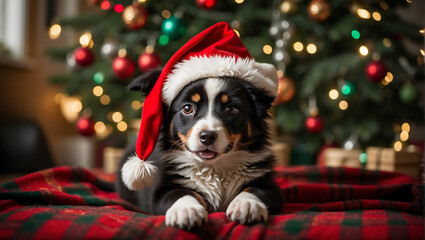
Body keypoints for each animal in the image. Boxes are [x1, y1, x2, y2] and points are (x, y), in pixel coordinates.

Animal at [116, 68, 282, 230]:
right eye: (187, 108)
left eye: (230, 108)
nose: (207, 136)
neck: (215, 168)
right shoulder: (160, 192)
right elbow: (180, 193)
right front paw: (186, 210)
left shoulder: (271, 186)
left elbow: (256, 190)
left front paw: (247, 204)